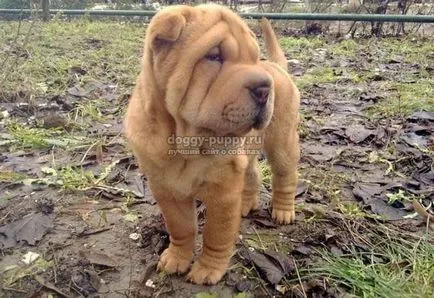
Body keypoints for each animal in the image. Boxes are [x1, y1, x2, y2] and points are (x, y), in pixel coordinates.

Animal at [123, 4, 298, 284]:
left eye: (254, 57)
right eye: (214, 56)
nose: (264, 88)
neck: (184, 142)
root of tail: (275, 68)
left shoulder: (222, 192)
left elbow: (217, 233)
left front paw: (208, 269)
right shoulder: (165, 189)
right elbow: (180, 227)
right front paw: (176, 258)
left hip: (282, 142)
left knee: (285, 176)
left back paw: (283, 211)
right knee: (252, 174)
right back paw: (246, 204)